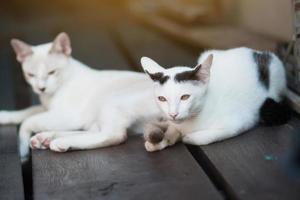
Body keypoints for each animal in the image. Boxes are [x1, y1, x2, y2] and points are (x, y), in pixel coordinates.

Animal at [0, 32, 162, 161]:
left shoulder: (67, 115)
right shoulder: (48, 109)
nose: (41, 88)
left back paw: (60, 142)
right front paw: (4, 116)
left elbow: (27, 121)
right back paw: (47, 138)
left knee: (115, 135)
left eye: (52, 72)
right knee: (94, 130)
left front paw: (22, 150)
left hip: (110, 103)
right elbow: (27, 111)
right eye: (31, 75)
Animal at [141, 47, 288, 152]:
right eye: (162, 99)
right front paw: (162, 140)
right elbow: (172, 129)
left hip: (275, 71)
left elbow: (203, 137)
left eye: (185, 97)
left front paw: (187, 137)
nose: (173, 114)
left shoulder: (241, 122)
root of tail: (254, 51)